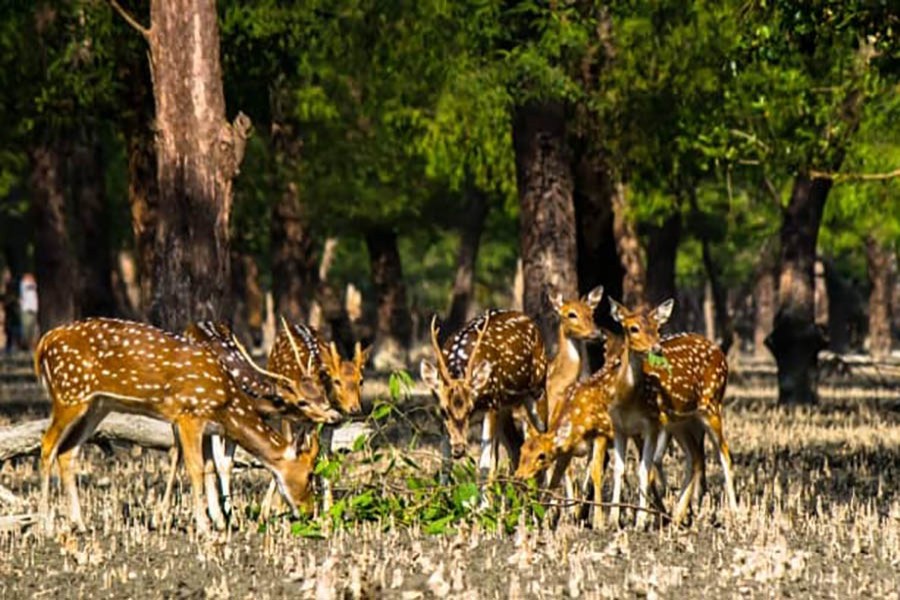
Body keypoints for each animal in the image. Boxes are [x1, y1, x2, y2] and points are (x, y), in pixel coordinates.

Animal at [34, 318, 327, 534]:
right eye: (309, 473)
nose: (309, 511)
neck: (226, 401)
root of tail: (44, 342)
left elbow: (207, 466)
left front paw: (218, 521)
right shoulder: (189, 413)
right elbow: (195, 467)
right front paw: (205, 527)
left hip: (96, 405)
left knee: (68, 452)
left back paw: (80, 524)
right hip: (69, 394)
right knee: (47, 446)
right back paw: (46, 526)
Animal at [420, 310, 547, 480]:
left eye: (470, 408)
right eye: (444, 410)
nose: (459, 449)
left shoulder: (491, 406)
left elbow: (485, 467)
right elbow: (445, 466)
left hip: (538, 387)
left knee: (547, 435)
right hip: (504, 407)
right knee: (516, 445)